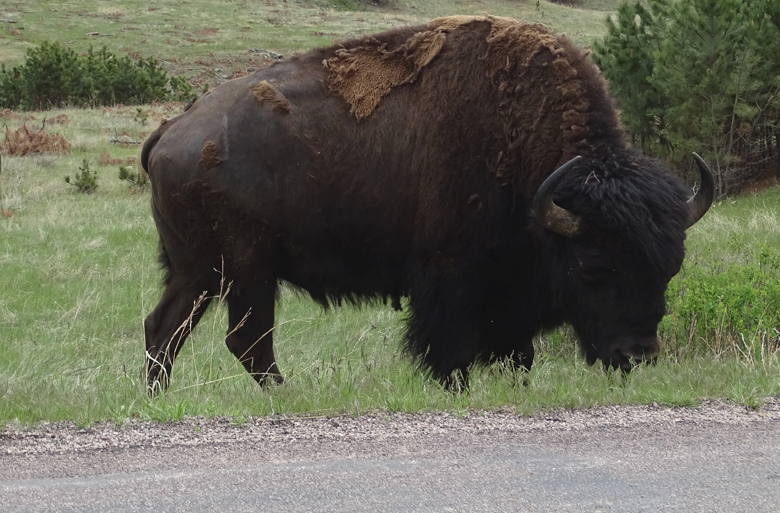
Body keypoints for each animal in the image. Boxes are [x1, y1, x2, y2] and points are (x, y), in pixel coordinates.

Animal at [139, 16, 712, 392]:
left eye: (669, 268)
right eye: (594, 266)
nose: (634, 355)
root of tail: (172, 131)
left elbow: (517, 353)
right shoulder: (450, 277)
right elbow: (450, 348)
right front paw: (454, 387)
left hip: (198, 273)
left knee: (164, 328)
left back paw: (158, 398)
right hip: (247, 271)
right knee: (249, 341)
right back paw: (288, 396)